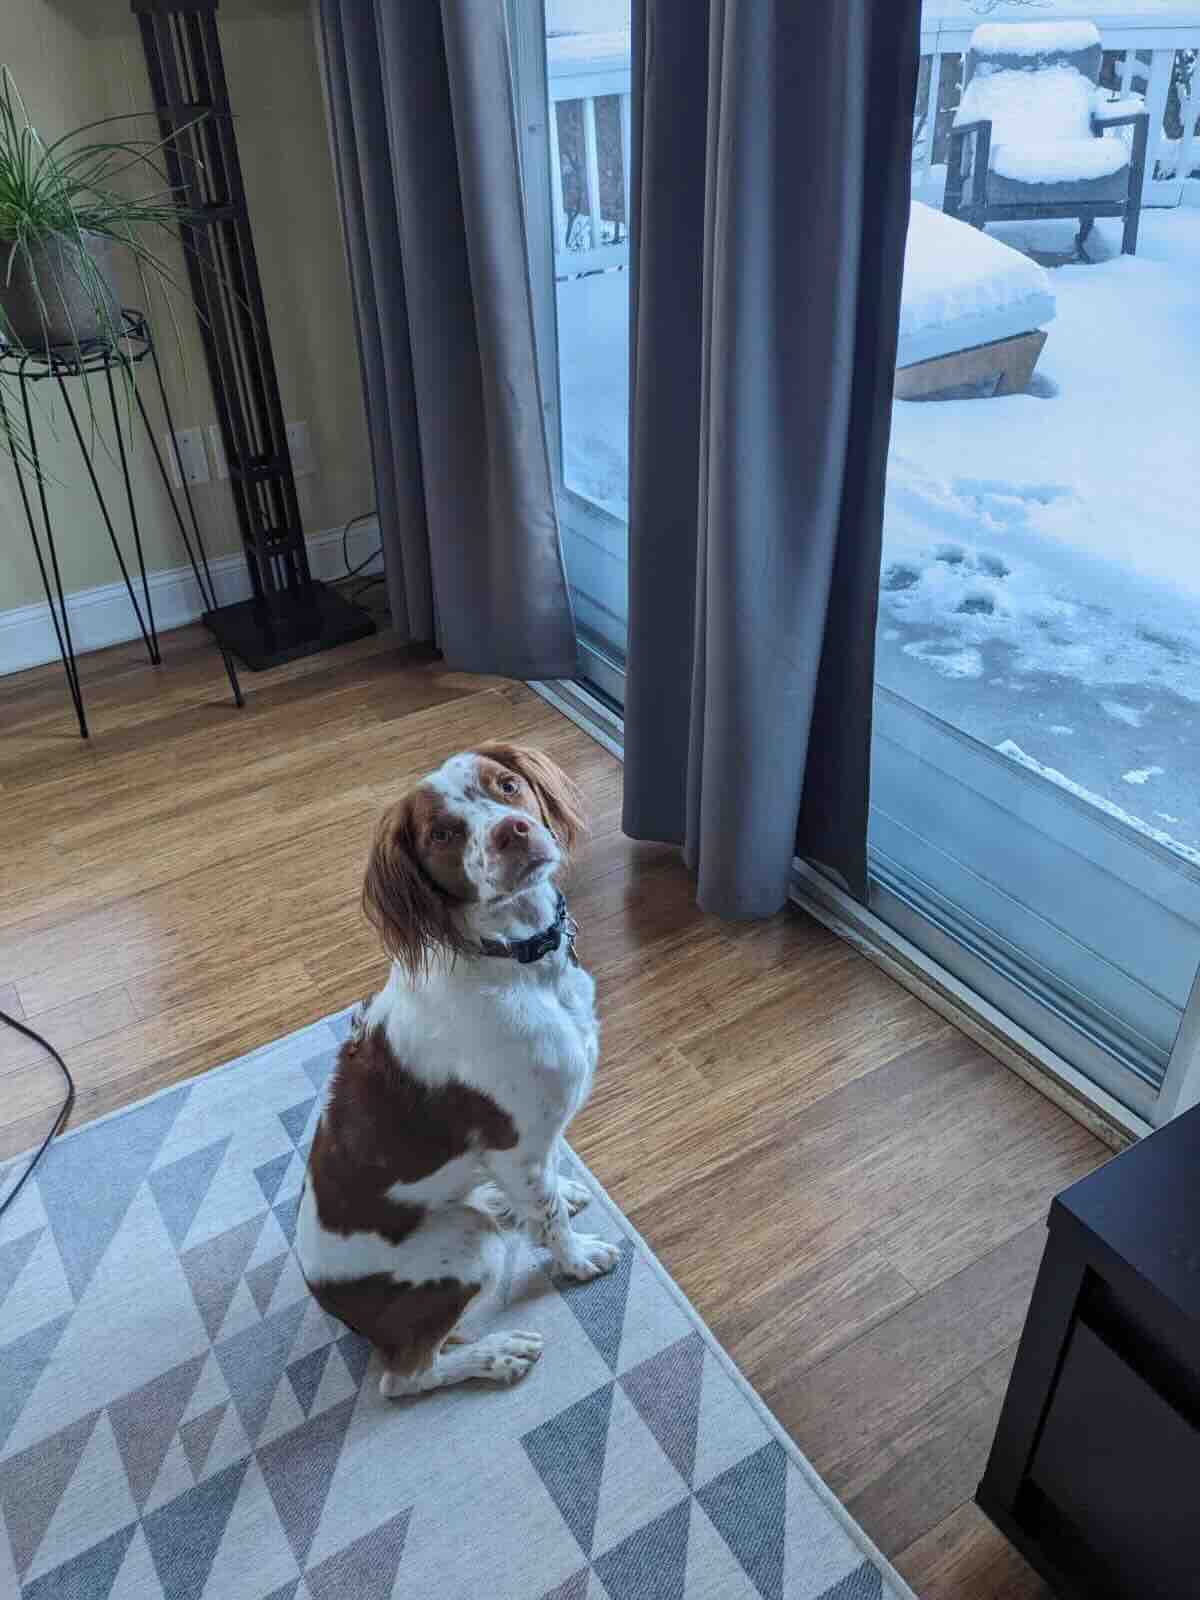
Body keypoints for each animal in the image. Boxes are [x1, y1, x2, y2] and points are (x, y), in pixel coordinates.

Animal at [295, 743, 617, 1397]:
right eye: (442, 833)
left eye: (507, 785)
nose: (511, 831)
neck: (518, 964)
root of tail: (325, 1298)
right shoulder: (516, 1143)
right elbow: (546, 1217)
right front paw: (576, 1260)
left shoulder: (535, 1139)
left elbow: (548, 1183)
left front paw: (560, 1194)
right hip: (467, 1249)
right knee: (405, 1377)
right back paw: (497, 1354)